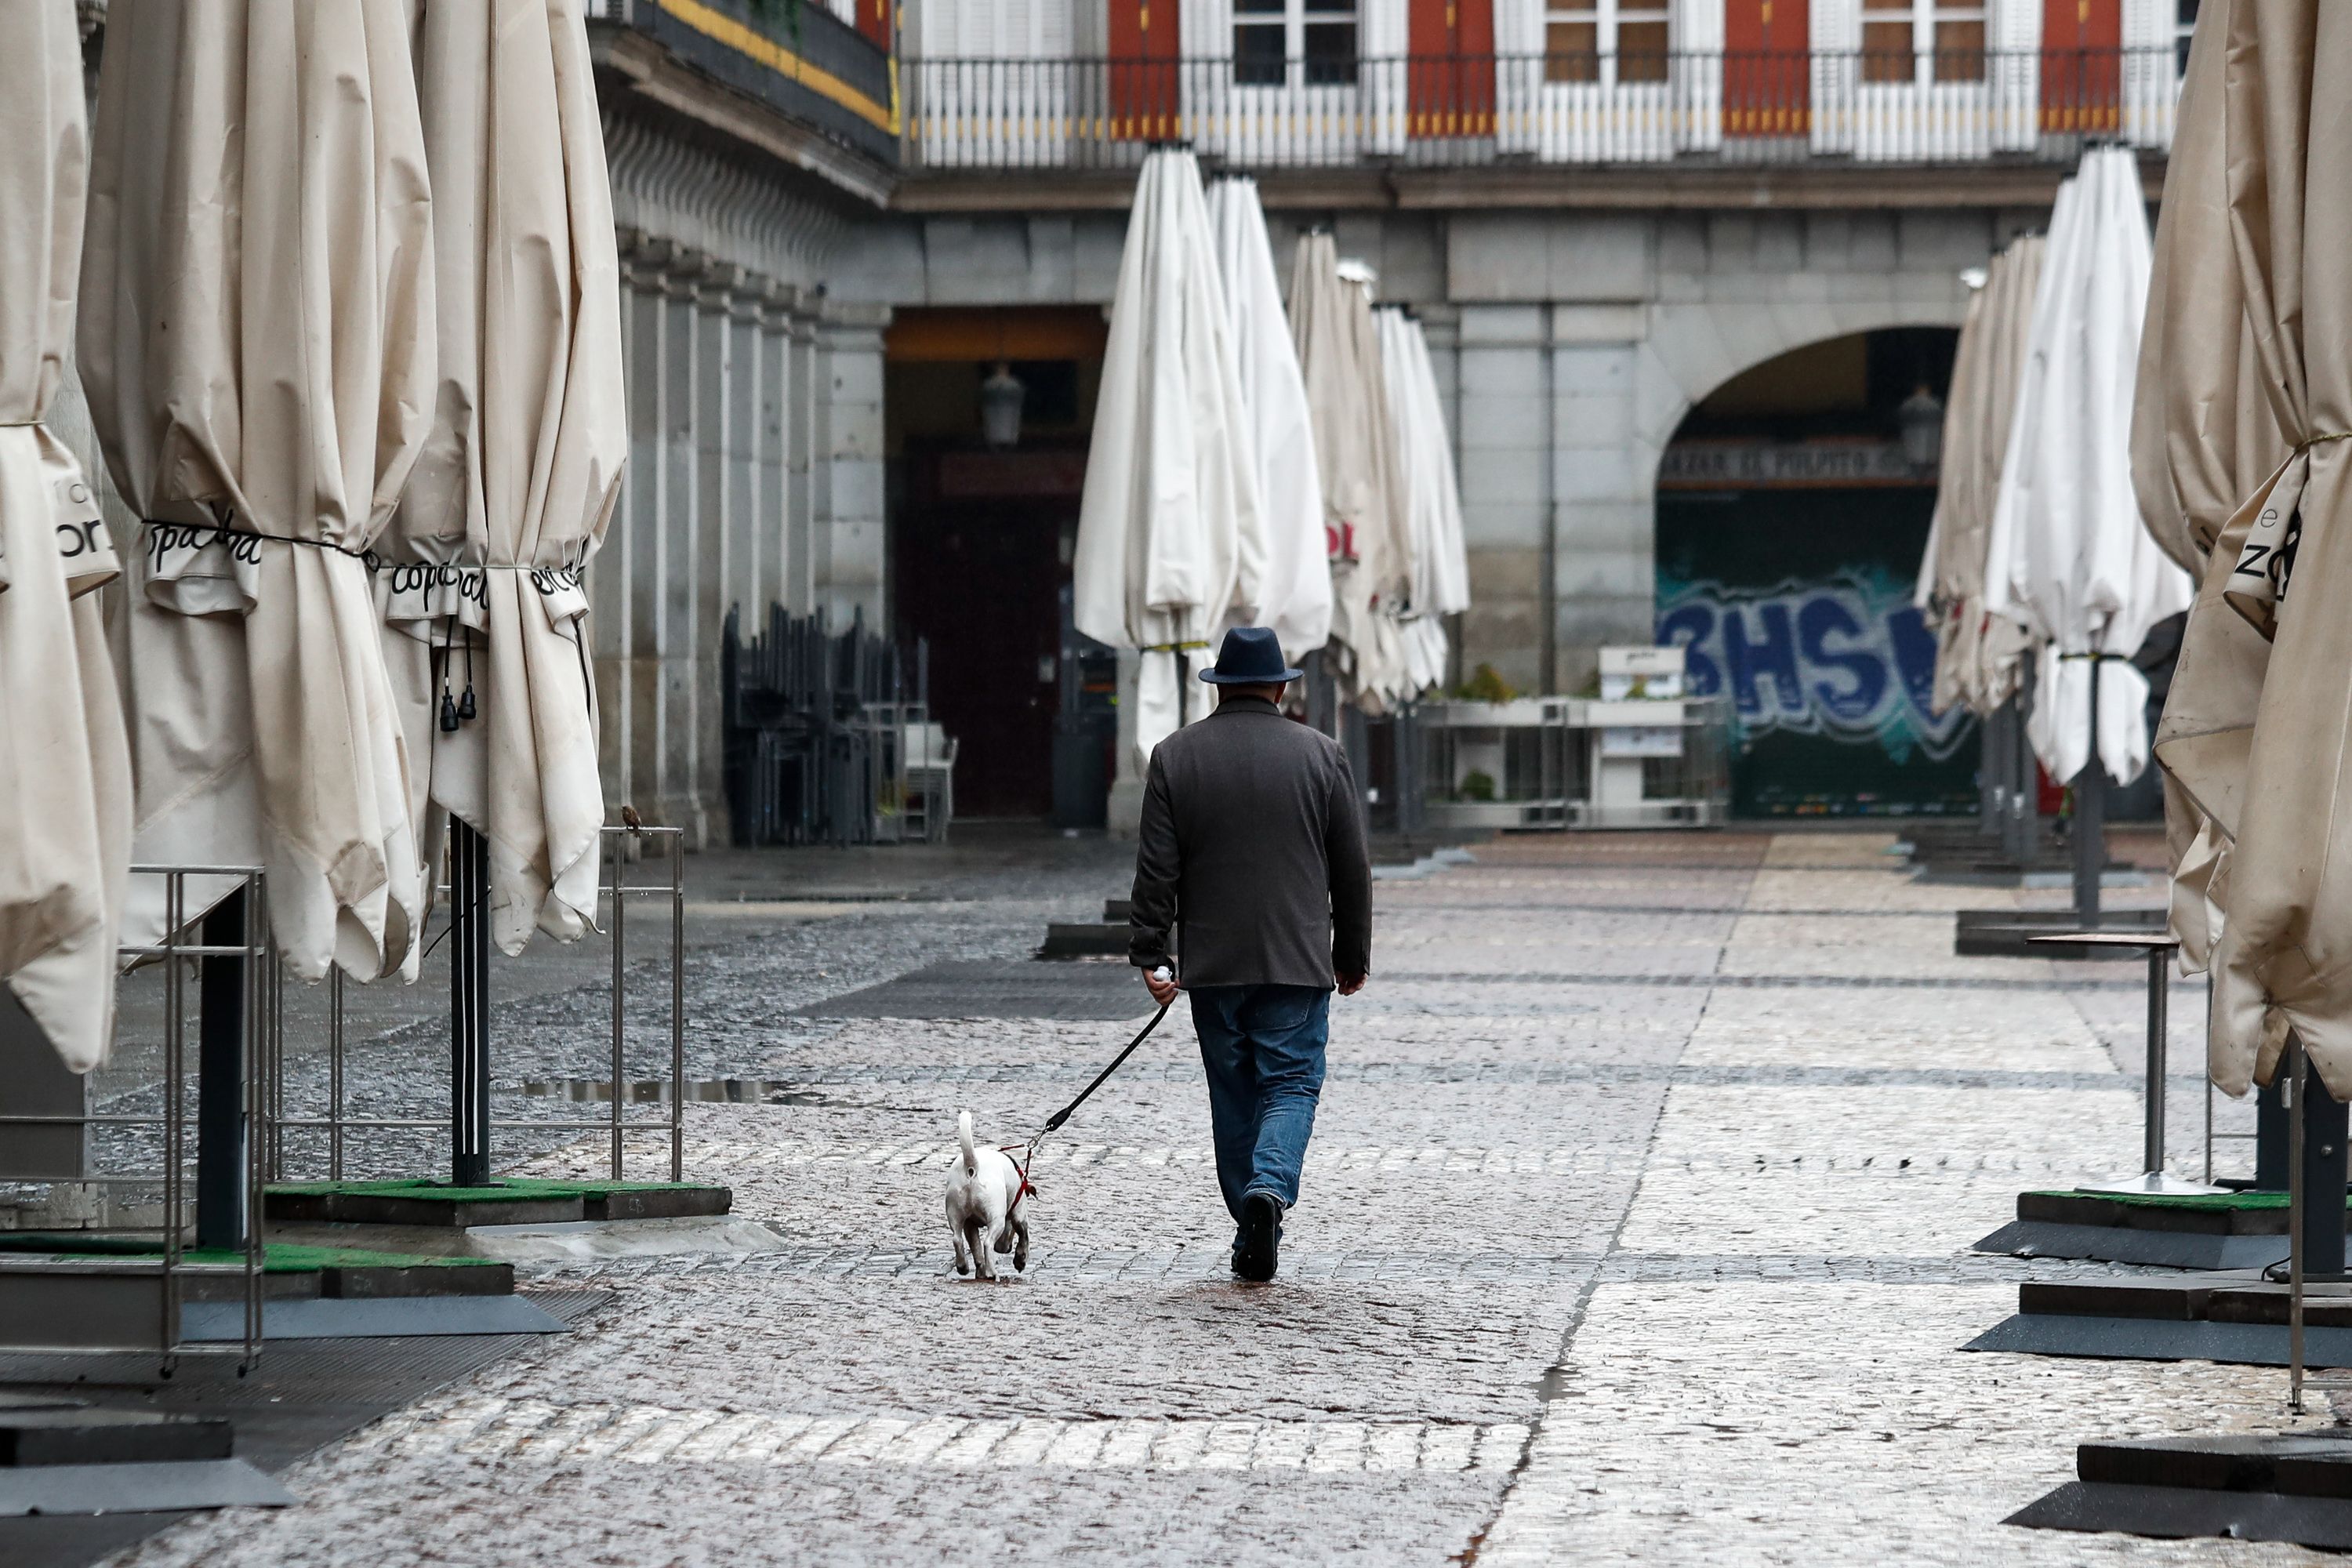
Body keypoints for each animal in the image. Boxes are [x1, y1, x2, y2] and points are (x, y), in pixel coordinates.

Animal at [946, 1109, 1030, 1279]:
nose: (1006, 1249)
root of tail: (972, 1166)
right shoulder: (1019, 1215)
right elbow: (1024, 1236)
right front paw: (1020, 1260)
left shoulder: (970, 1225)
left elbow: (976, 1249)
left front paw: (980, 1270)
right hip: (996, 1219)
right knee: (988, 1243)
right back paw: (992, 1273)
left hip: (955, 1214)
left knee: (957, 1240)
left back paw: (963, 1267)